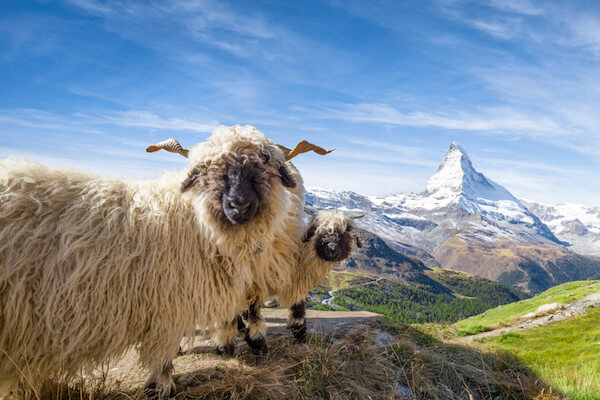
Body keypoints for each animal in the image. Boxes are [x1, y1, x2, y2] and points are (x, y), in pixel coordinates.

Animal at [0, 124, 328, 396]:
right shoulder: (167, 305)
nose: (239, 204)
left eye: (264, 162)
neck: (193, 221)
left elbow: (250, 303)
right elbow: (165, 354)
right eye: (205, 169)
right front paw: (162, 386)